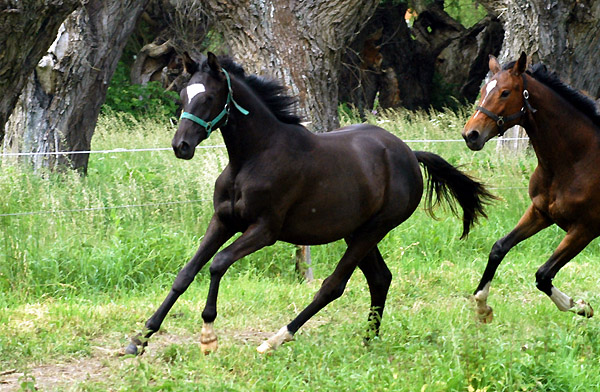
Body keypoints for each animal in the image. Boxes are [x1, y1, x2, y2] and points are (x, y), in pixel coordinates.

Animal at [125, 52, 492, 356]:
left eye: (210, 97)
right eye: (184, 95)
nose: (181, 146)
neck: (253, 157)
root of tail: (409, 155)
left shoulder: (264, 231)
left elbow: (218, 264)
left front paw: (208, 336)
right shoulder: (223, 221)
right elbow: (186, 273)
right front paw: (140, 339)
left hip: (374, 229)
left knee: (333, 286)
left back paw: (276, 339)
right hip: (356, 231)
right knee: (380, 279)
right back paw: (368, 340)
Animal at [462, 52, 600, 322]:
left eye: (505, 92)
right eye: (483, 90)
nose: (470, 135)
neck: (577, 161)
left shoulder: (584, 229)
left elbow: (543, 275)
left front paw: (581, 306)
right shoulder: (540, 212)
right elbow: (499, 248)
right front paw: (482, 305)